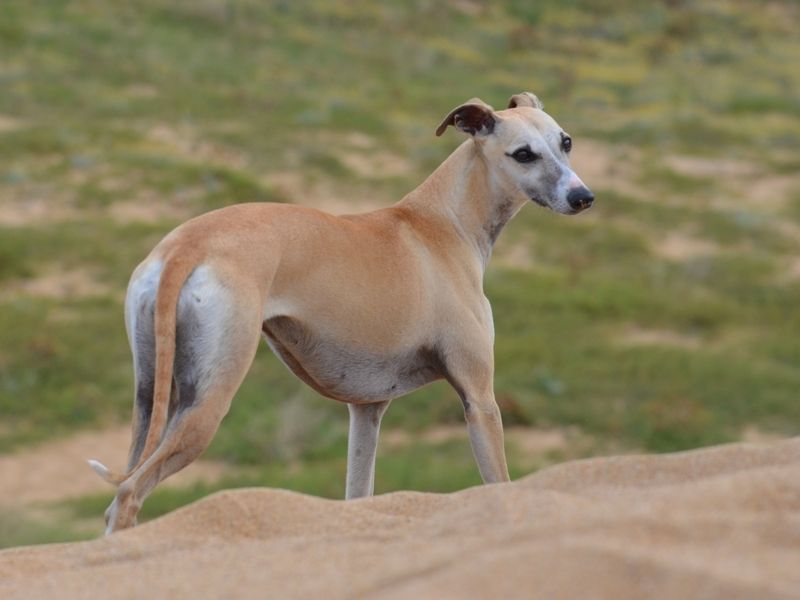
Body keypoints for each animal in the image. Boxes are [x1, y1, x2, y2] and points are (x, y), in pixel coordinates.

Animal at [89, 92, 592, 536]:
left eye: (565, 141)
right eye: (523, 154)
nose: (583, 197)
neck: (443, 222)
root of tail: (186, 246)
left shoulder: (367, 409)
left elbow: (358, 496)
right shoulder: (479, 398)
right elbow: (498, 484)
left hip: (150, 395)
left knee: (121, 489)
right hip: (206, 402)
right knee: (129, 495)